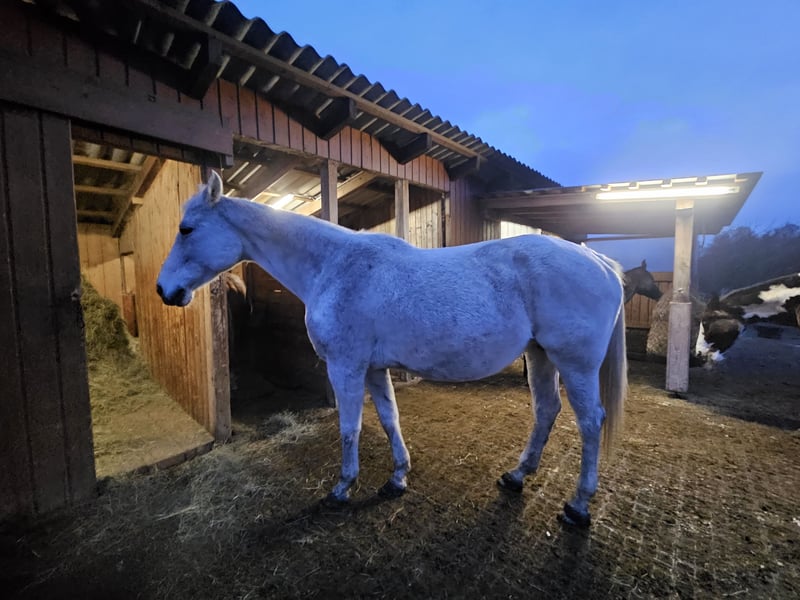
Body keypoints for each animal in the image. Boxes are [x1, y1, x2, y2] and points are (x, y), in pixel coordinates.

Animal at [156, 171, 627, 527]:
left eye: (186, 229)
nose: (164, 290)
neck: (334, 266)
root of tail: (601, 263)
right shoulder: (373, 368)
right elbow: (389, 419)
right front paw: (396, 479)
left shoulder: (345, 367)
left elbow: (350, 427)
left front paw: (343, 488)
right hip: (541, 355)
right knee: (547, 410)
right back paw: (516, 476)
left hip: (574, 363)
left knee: (590, 422)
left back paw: (578, 506)